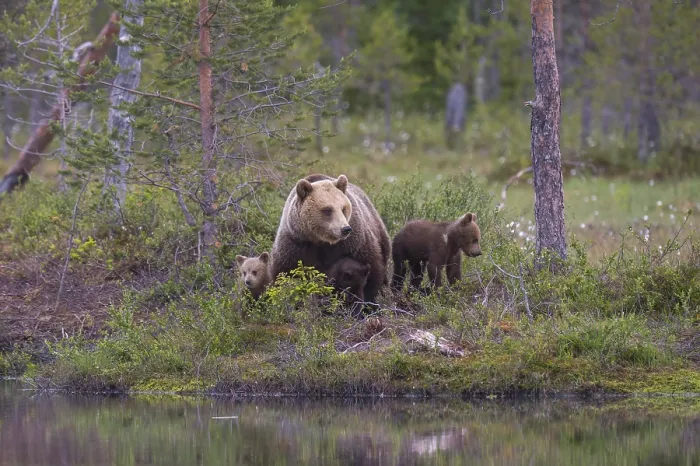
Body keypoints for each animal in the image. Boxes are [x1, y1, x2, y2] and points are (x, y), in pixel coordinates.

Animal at [270, 174, 391, 311]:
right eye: (327, 210)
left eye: (343, 208)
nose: (345, 229)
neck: (321, 241)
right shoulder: (295, 244)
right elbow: (282, 274)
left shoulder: (354, 243)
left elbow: (372, 269)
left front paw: (369, 304)